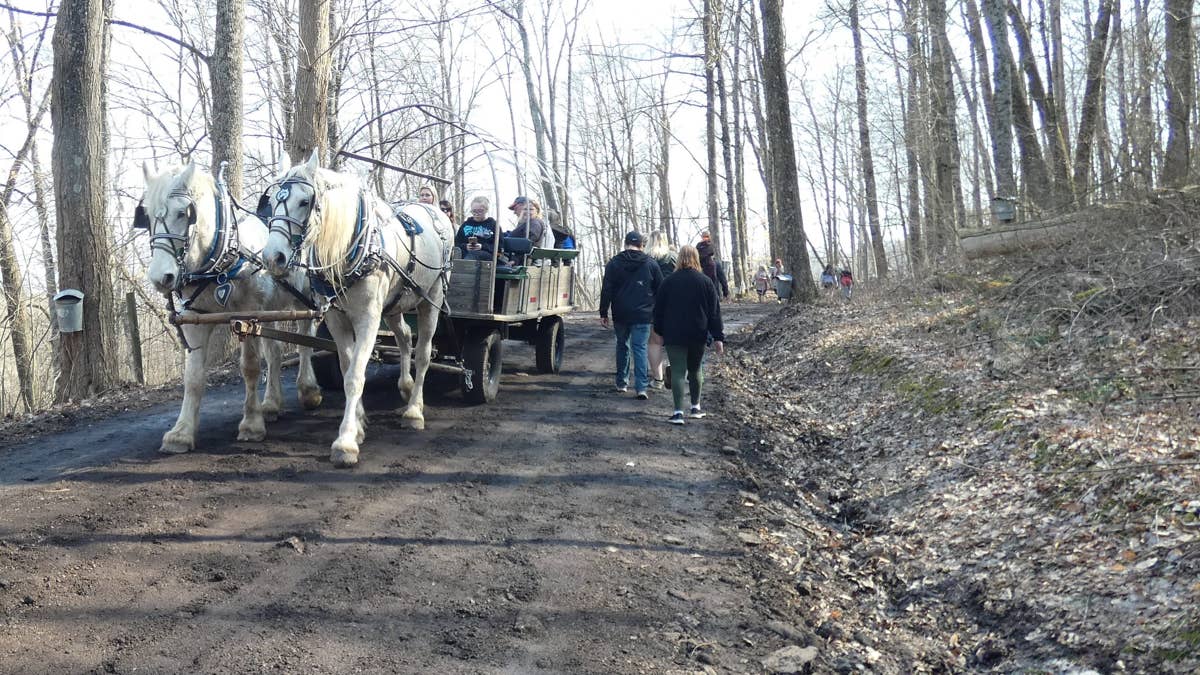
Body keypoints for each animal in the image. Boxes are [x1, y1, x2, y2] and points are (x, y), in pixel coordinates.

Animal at [136, 161, 324, 454]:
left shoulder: (248, 316)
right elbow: (193, 377)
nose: (160, 277)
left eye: (183, 213)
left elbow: (250, 367)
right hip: (270, 308)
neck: (220, 261)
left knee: (305, 340)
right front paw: (181, 432)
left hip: (304, 297)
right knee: (275, 353)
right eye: (146, 216)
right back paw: (271, 404)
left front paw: (251, 424)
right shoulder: (195, 319)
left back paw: (308, 390)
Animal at [261, 150, 452, 468]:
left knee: (424, 352)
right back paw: (406, 385)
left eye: (305, 201)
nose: (272, 257)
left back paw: (414, 410)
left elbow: (354, 376)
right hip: (395, 304)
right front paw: (360, 423)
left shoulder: (368, 318)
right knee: (404, 337)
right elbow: (347, 366)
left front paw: (346, 441)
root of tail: (433, 209)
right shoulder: (337, 317)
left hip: (430, 299)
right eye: (273, 201)